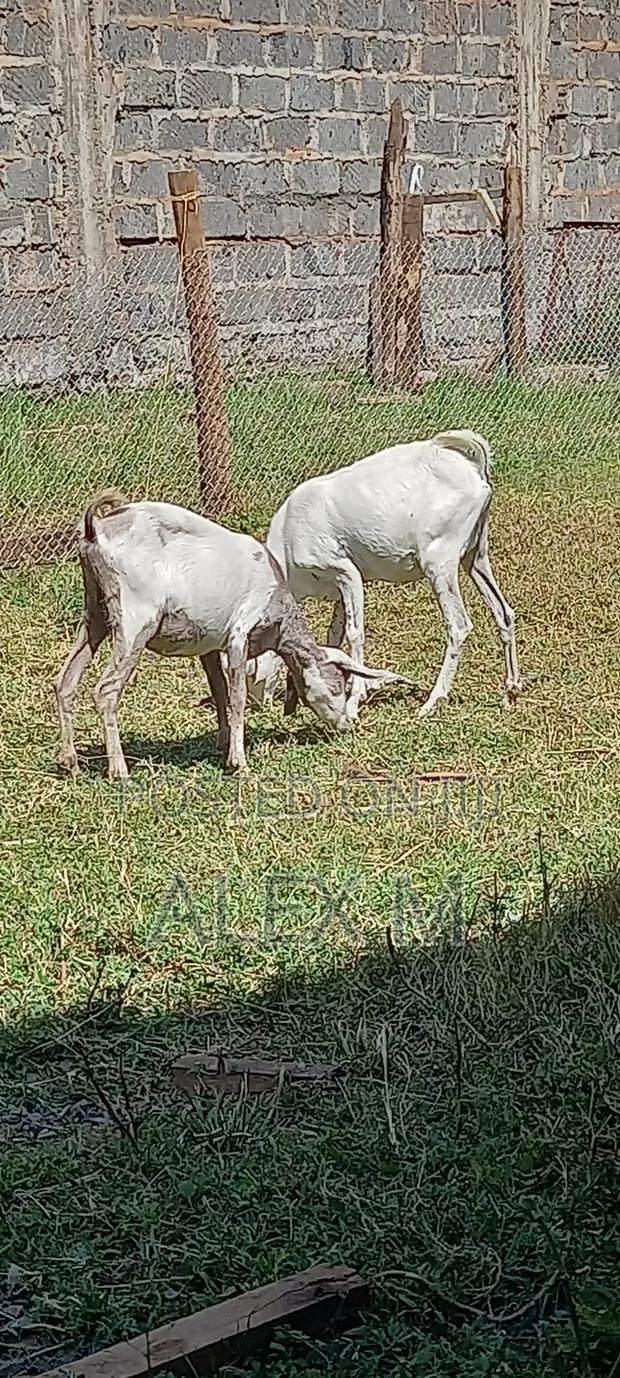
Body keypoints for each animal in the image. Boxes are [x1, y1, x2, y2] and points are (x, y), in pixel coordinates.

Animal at [55, 492, 416, 779]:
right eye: (339, 685)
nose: (344, 725)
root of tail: (97, 530)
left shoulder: (209, 645)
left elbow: (219, 692)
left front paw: (224, 743)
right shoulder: (239, 635)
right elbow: (237, 696)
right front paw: (238, 761)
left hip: (95, 614)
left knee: (65, 682)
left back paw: (70, 763)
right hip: (134, 623)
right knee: (106, 690)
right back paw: (118, 769)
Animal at [251, 430, 521, 721]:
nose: (257, 704)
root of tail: (471, 468)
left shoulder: (347, 573)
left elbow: (354, 633)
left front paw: (355, 699)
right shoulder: (340, 590)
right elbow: (334, 635)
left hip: (440, 563)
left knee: (459, 626)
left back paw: (432, 701)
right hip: (476, 556)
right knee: (503, 612)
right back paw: (511, 691)